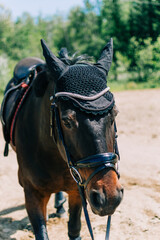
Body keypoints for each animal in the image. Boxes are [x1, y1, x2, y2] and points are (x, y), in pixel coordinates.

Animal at [0, 38, 124, 239]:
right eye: (67, 121)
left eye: (114, 113)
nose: (109, 198)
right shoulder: (32, 193)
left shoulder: (78, 188)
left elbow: (74, 229)